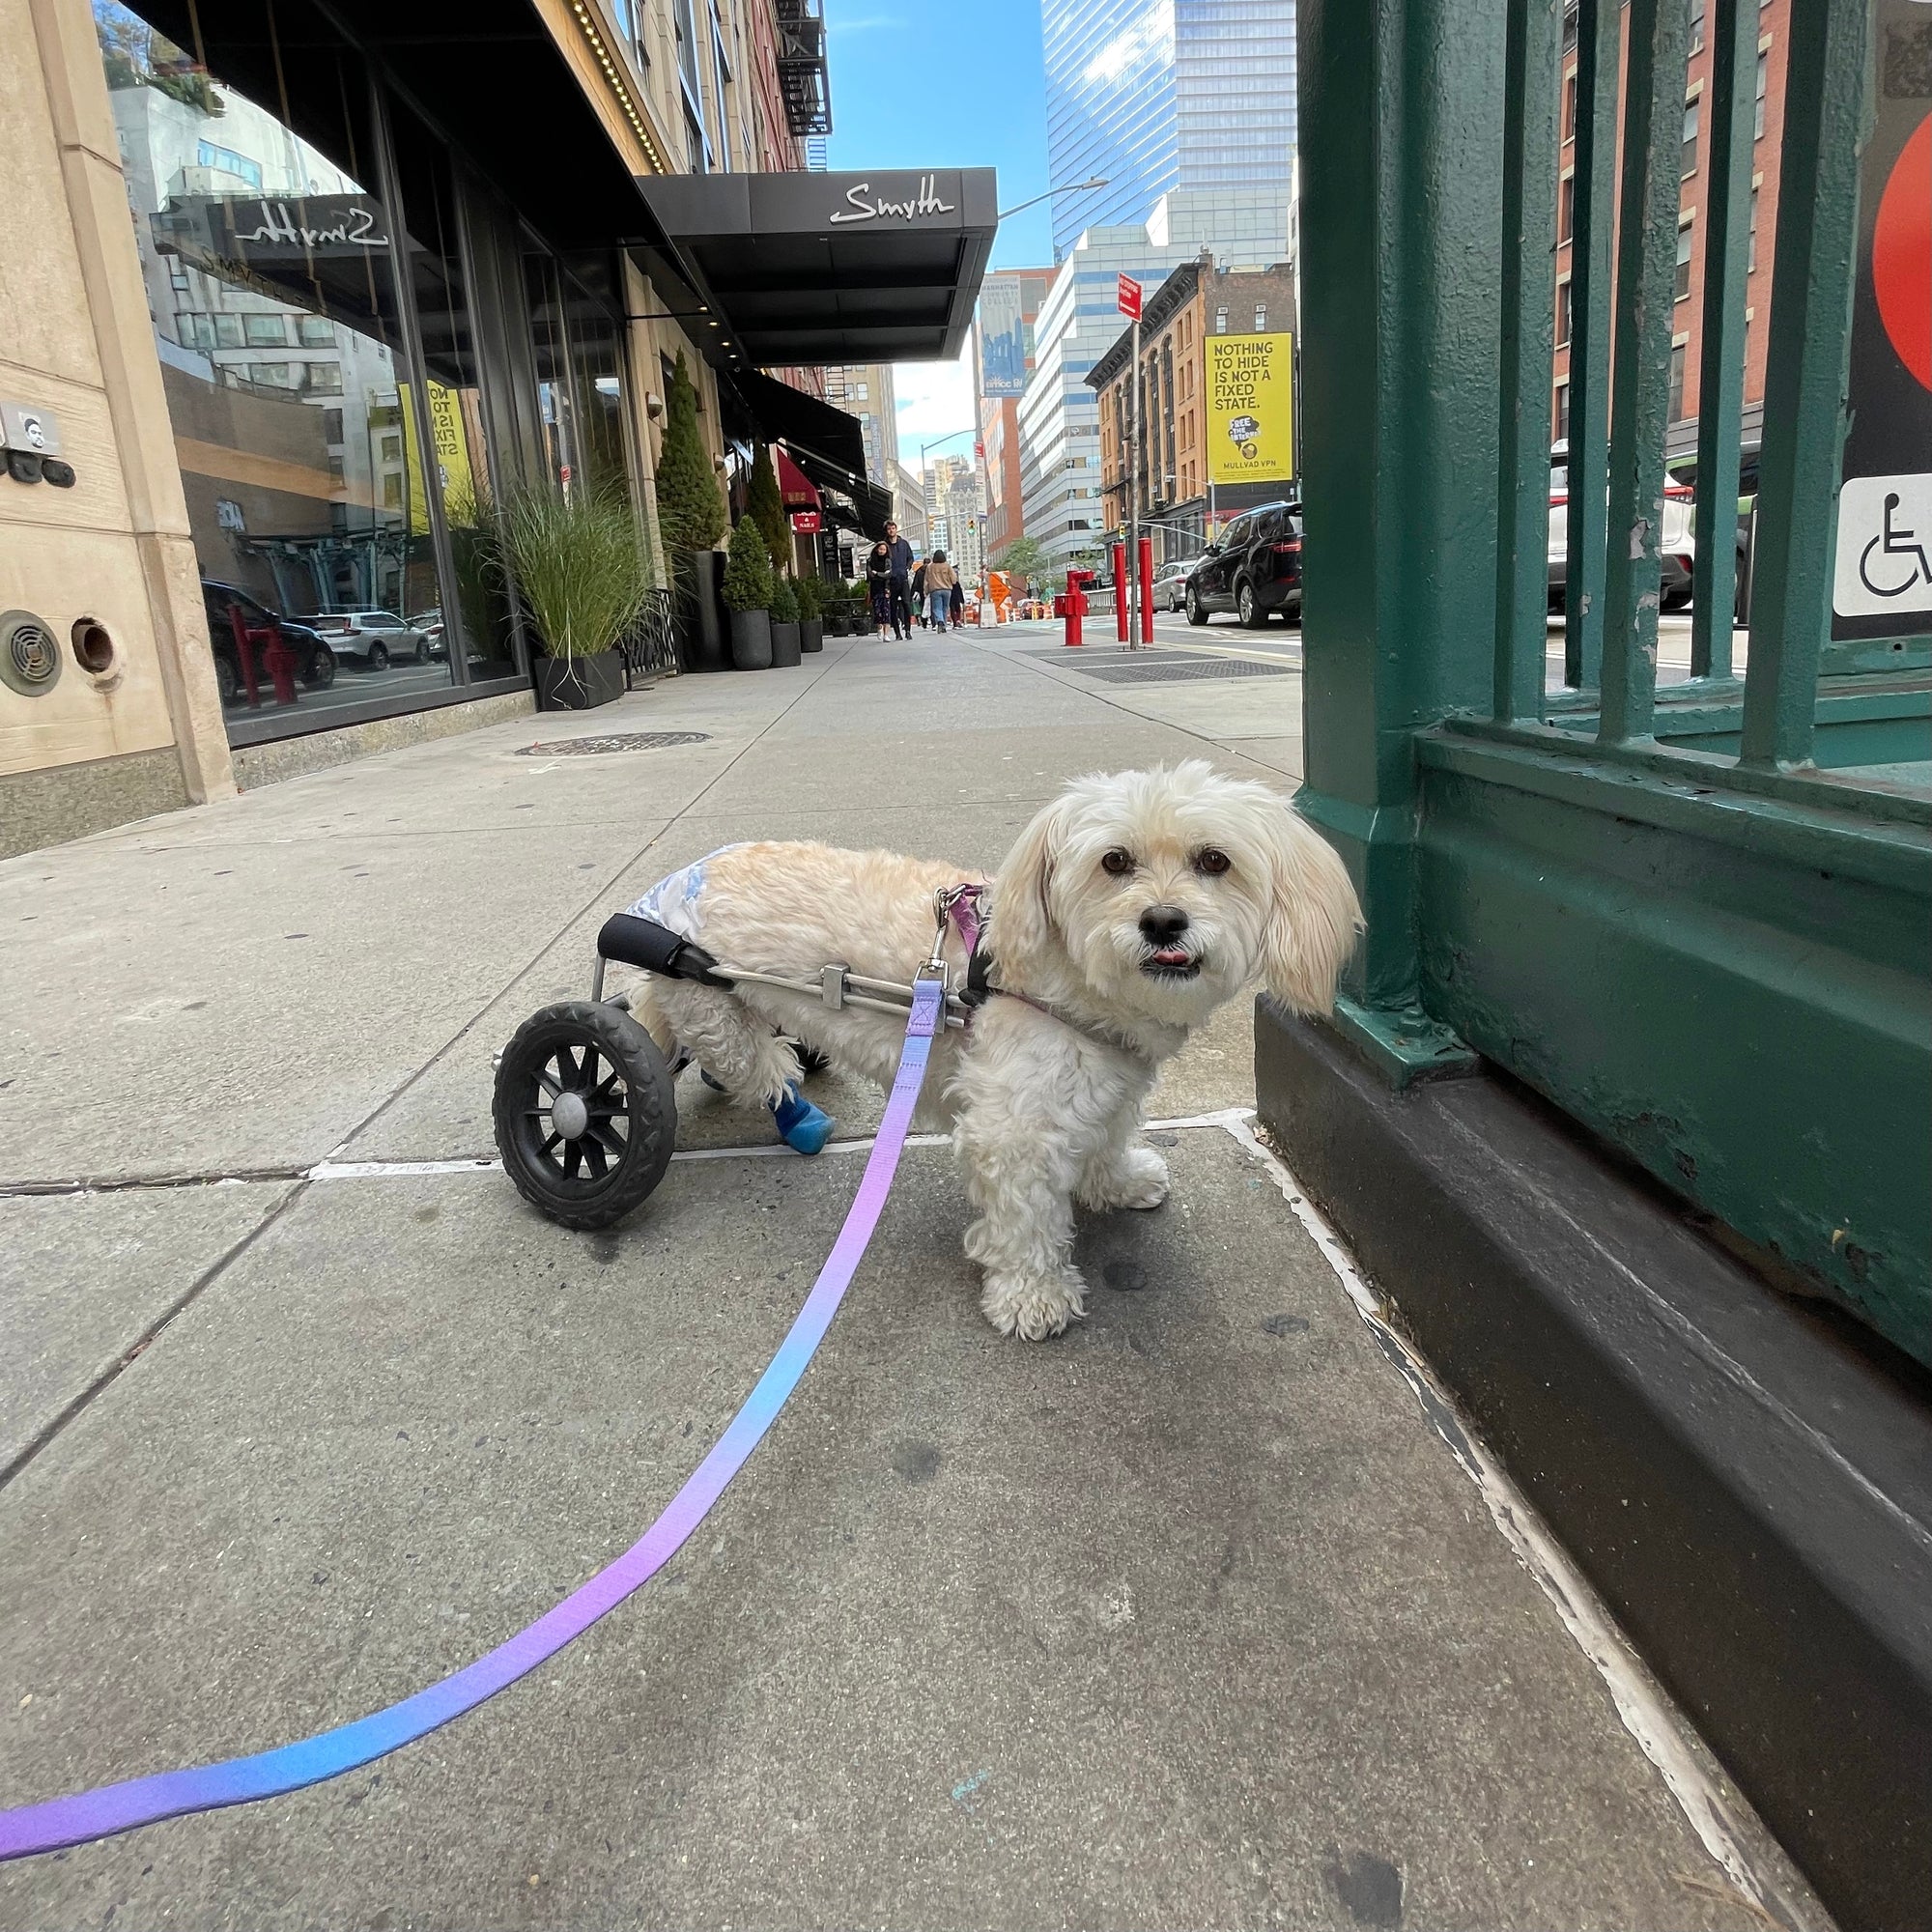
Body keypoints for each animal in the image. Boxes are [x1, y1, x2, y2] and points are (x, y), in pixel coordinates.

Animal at [634, 761, 1360, 1337]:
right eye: (1114, 861)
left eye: (1215, 861)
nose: (1161, 921)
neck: (1069, 979)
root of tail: (671, 885)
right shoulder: (1013, 1130)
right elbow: (1026, 1220)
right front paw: (1033, 1297)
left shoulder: (1106, 1082)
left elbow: (1107, 1139)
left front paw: (1118, 1183)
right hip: (710, 1008)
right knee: (752, 1066)